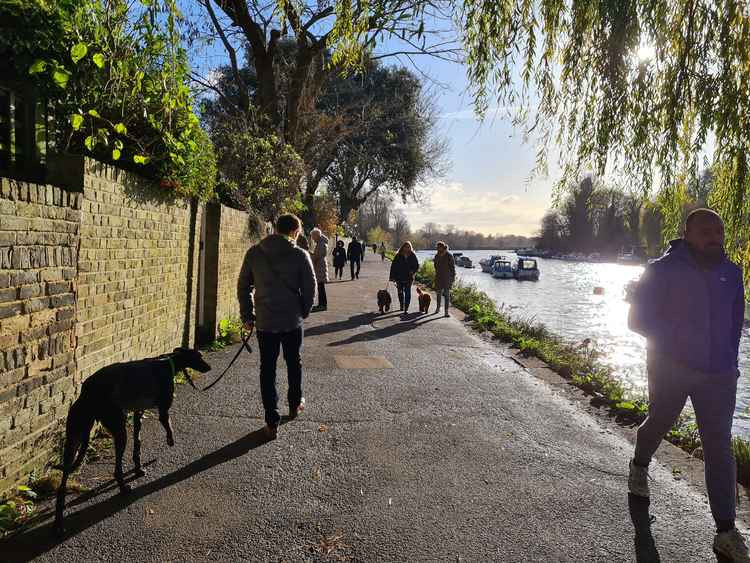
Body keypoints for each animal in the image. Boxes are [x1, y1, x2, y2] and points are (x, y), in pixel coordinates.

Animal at [54, 346, 212, 536]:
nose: (209, 367)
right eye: (199, 357)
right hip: (118, 430)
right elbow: (168, 425)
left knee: (62, 483)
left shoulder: (138, 414)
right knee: (116, 470)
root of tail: (87, 390)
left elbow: (138, 445)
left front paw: (138, 468)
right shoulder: (163, 411)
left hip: (74, 438)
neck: (167, 363)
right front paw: (170, 439)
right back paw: (123, 488)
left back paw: (59, 524)